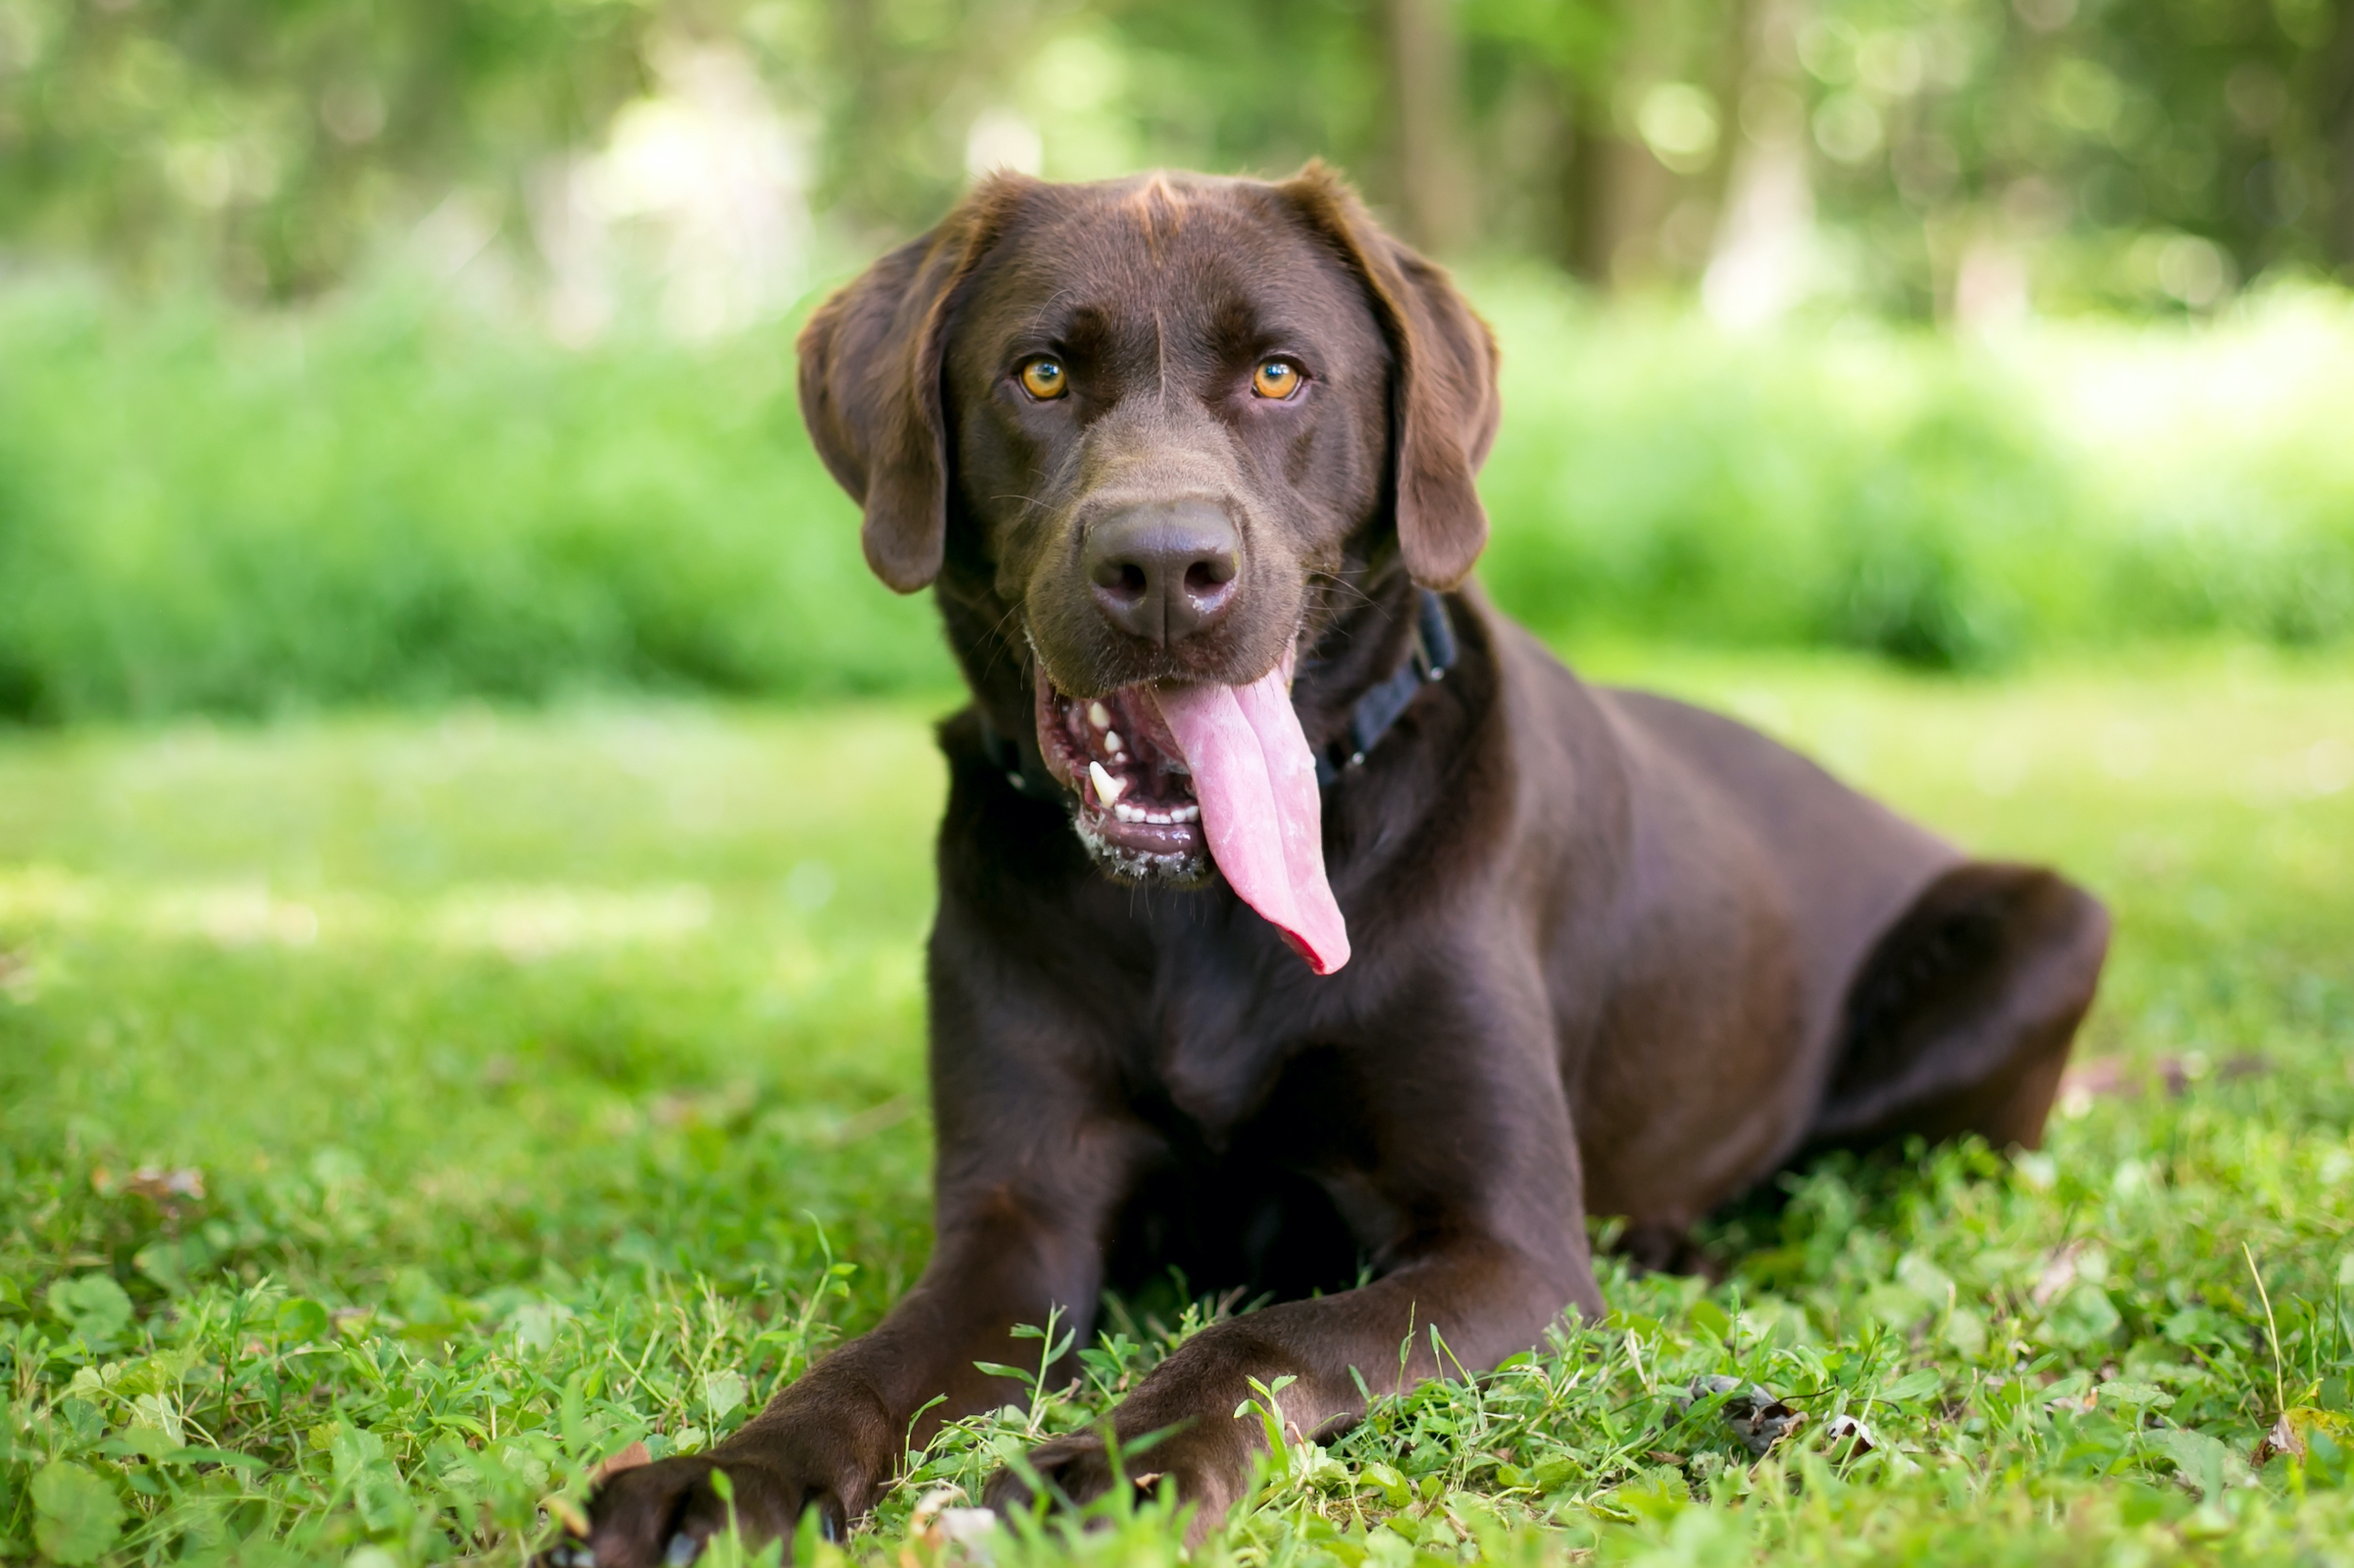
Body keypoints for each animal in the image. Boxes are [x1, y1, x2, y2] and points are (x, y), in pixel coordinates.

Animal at [569, 165, 2119, 1553]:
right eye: (1041, 375)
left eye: (1276, 375)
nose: (1164, 566)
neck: (1197, 914)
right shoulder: (1017, 1224)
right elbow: (868, 1364)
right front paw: (725, 1476)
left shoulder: (1505, 1246)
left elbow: (1267, 1334)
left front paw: (1116, 1467)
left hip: (2051, 924)